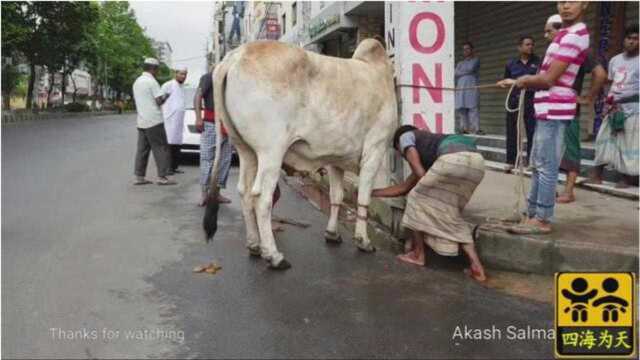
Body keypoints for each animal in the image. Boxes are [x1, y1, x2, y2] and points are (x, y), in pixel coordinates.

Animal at [204, 39, 396, 270]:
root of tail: (235, 56)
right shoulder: (374, 150)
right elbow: (364, 198)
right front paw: (363, 241)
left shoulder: (336, 159)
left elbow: (336, 196)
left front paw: (332, 234)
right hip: (271, 152)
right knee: (261, 197)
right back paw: (274, 255)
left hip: (246, 151)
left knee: (244, 192)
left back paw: (254, 245)